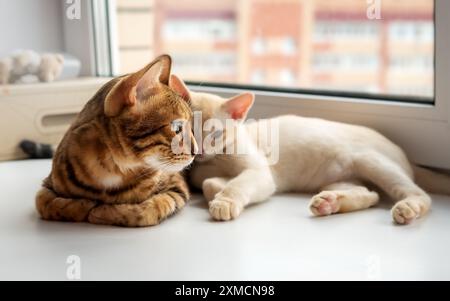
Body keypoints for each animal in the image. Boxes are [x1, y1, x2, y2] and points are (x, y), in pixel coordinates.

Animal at [186, 88, 450, 224]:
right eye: (189, 130)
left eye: (216, 133)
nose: (199, 151)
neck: (214, 160)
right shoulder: (203, 171)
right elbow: (206, 180)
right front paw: (217, 188)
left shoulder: (261, 172)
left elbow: (237, 183)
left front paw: (224, 201)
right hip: (340, 178)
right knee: (371, 194)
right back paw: (330, 203)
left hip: (371, 160)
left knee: (419, 194)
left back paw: (408, 206)